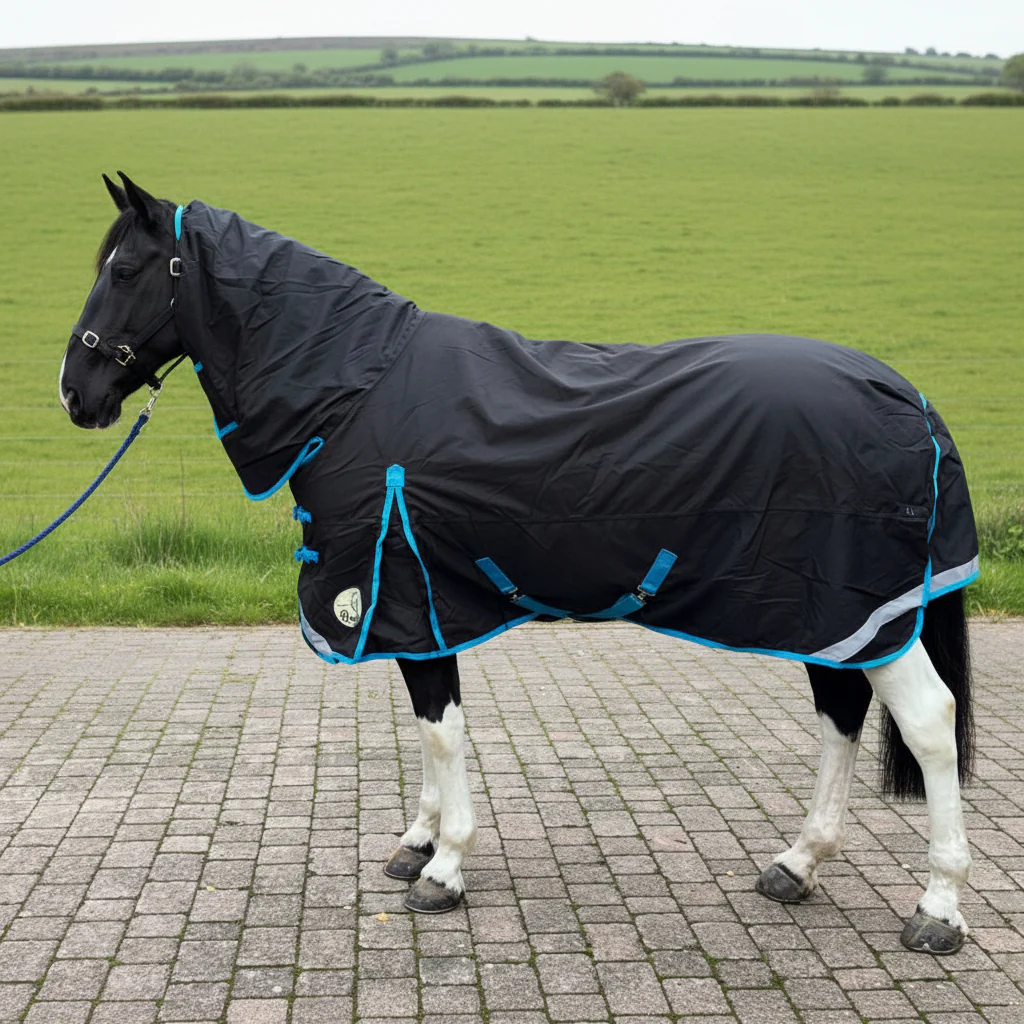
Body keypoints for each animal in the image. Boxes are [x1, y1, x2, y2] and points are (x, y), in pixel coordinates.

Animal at [59, 173, 979, 952]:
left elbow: (441, 730)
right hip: (828, 615)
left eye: (129, 268)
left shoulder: (404, 594)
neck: (355, 393)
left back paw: (937, 909)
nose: (75, 392)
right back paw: (796, 864)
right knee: (841, 713)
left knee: (928, 723)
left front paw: (443, 870)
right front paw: (417, 840)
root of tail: (909, 398)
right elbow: (429, 727)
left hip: (856, 612)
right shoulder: (421, 609)